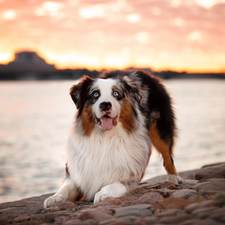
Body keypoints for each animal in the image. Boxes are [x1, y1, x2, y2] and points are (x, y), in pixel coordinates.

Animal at [43, 69, 182, 208]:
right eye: (95, 94)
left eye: (116, 93)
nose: (105, 105)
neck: (105, 137)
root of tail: (138, 71)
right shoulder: (78, 172)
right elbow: (66, 188)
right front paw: (54, 198)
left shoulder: (129, 173)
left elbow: (115, 184)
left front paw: (102, 193)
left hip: (160, 128)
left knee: (167, 156)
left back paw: (174, 178)